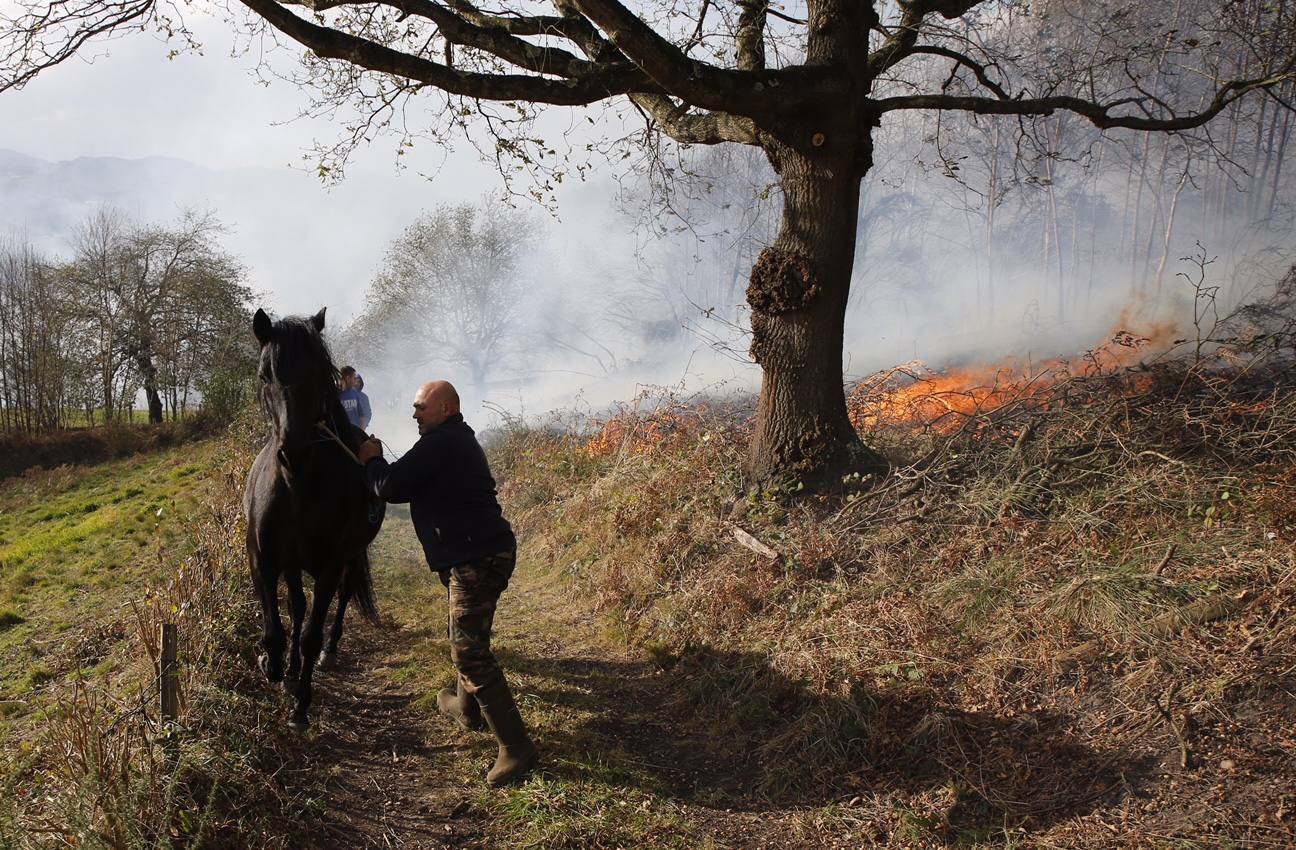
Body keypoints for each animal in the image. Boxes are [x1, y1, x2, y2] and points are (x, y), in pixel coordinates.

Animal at [243, 308, 381, 725]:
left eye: (319, 373)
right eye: (265, 375)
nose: (294, 452)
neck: (298, 487)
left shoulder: (331, 565)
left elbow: (311, 633)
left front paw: (301, 703)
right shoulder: (263, 560)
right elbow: (277, 626)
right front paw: (274, 666)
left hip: (350, 557)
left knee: (344, 595)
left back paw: (327, 653)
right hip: (292, 563)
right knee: (297, 607)